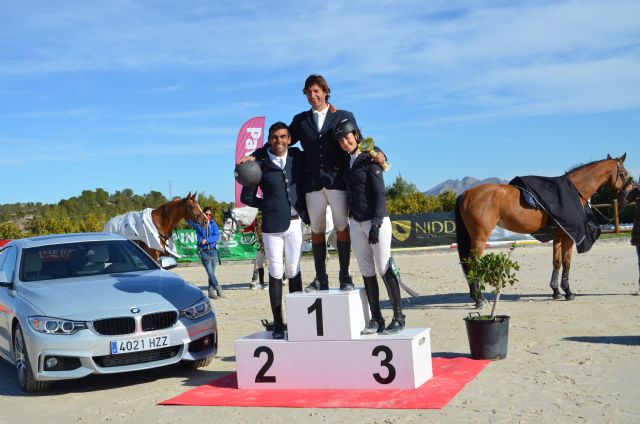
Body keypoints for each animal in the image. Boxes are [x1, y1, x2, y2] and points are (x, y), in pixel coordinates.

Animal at [456, 154, 632, 306]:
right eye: (623, 173)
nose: (625, 195)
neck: (574, 190)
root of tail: (467, 193)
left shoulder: (558, 235)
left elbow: (557, 262)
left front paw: (556, 291)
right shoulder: (568, 237)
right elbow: (567, 263)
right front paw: (568, 292)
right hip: (480, 238)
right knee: (472, 263)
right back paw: (479, 299)